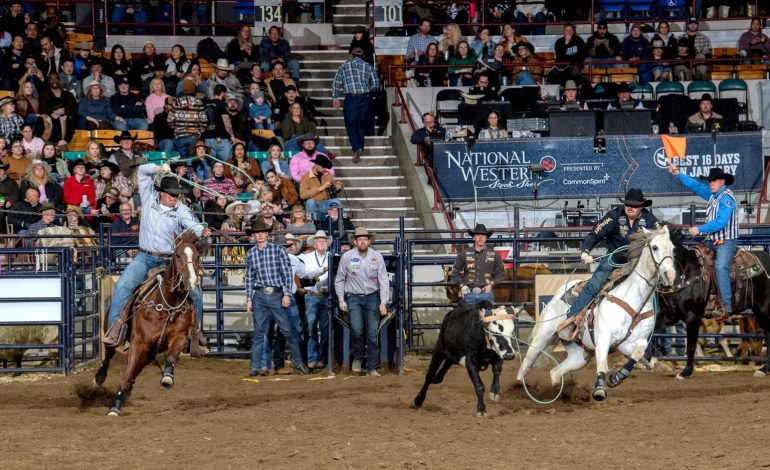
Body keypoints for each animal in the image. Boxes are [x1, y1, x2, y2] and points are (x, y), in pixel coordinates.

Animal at [93, 233, 204, 416]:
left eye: (197, 256)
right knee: (109, 354)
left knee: (136, 369)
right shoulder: (138, 343)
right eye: (178, 255)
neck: (167, 305)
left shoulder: (179, 337)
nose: (191, 281)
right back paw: (99, 378)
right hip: (113, 332)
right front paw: (114, 408)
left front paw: (167, 377)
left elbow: (171, 356)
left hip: (149, 352)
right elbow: (126, 374)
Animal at [516, 227, 672, 400]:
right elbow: (603, 365)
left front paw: (616, 377)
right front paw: (599, 389)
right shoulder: (603, 339)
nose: (669, 275)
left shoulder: (630, 343)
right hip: (542, 337)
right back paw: (518, 387)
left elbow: (637, 355)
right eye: (655, 247)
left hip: (580, 356)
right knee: (527, 362)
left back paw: (560, 393)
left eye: (672, 248)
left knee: (555, 372)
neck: (634, 301)